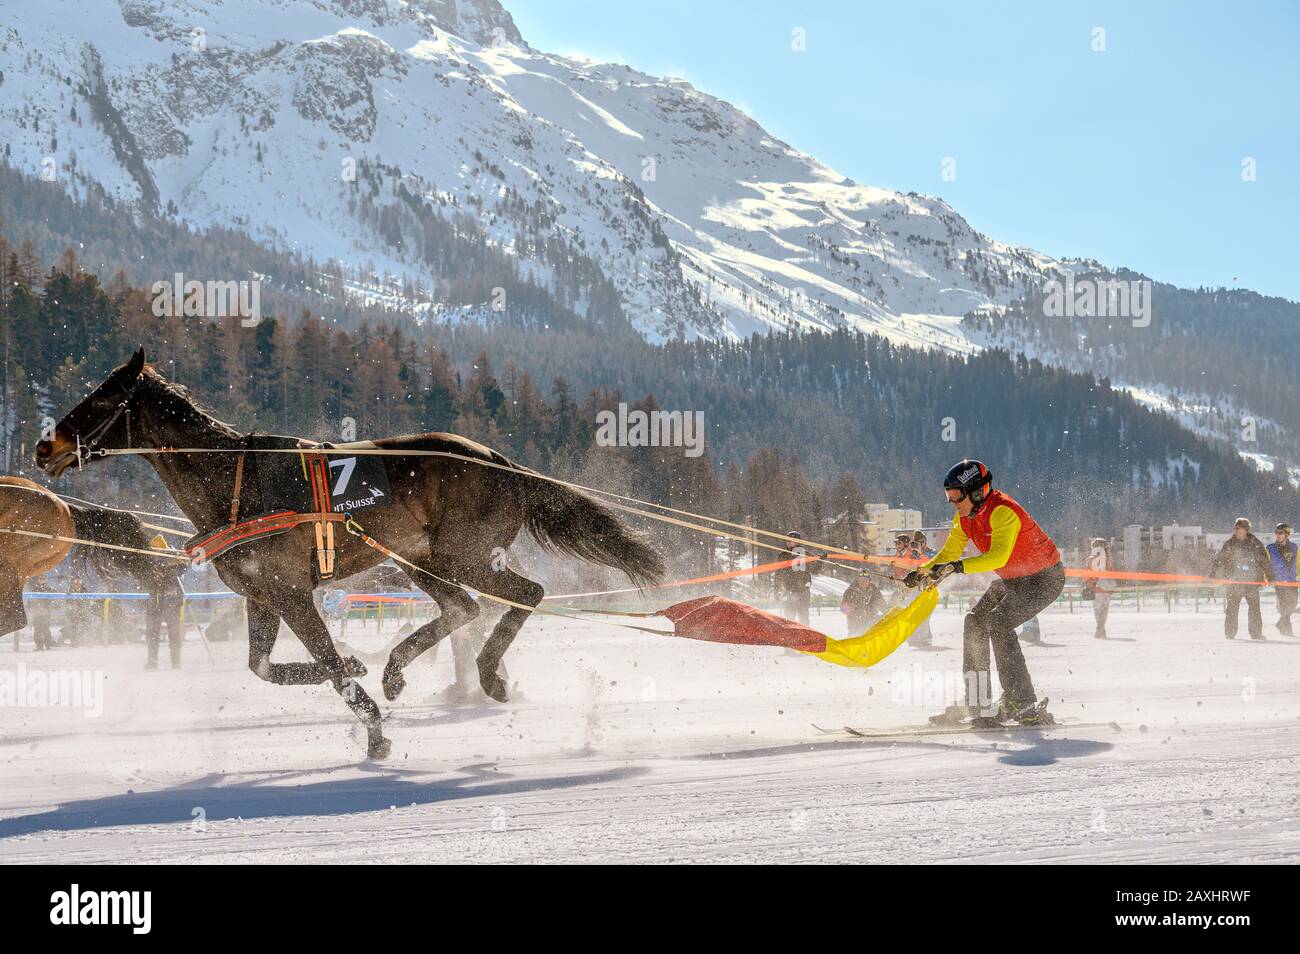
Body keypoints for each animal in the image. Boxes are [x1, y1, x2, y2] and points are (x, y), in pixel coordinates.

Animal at [35, 350, 665, 764]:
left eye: (104, 397)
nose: (45, 446)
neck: (235, 483)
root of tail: (501, 463)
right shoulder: (263, 594)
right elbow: (263, 668)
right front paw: (361, 673)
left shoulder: (291, 591)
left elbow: (328, 664)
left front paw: (371, 721)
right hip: (420, 560)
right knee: (463, 609)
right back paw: (395, 668)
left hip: (462, 556)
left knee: (523, 595)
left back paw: (486, 674)